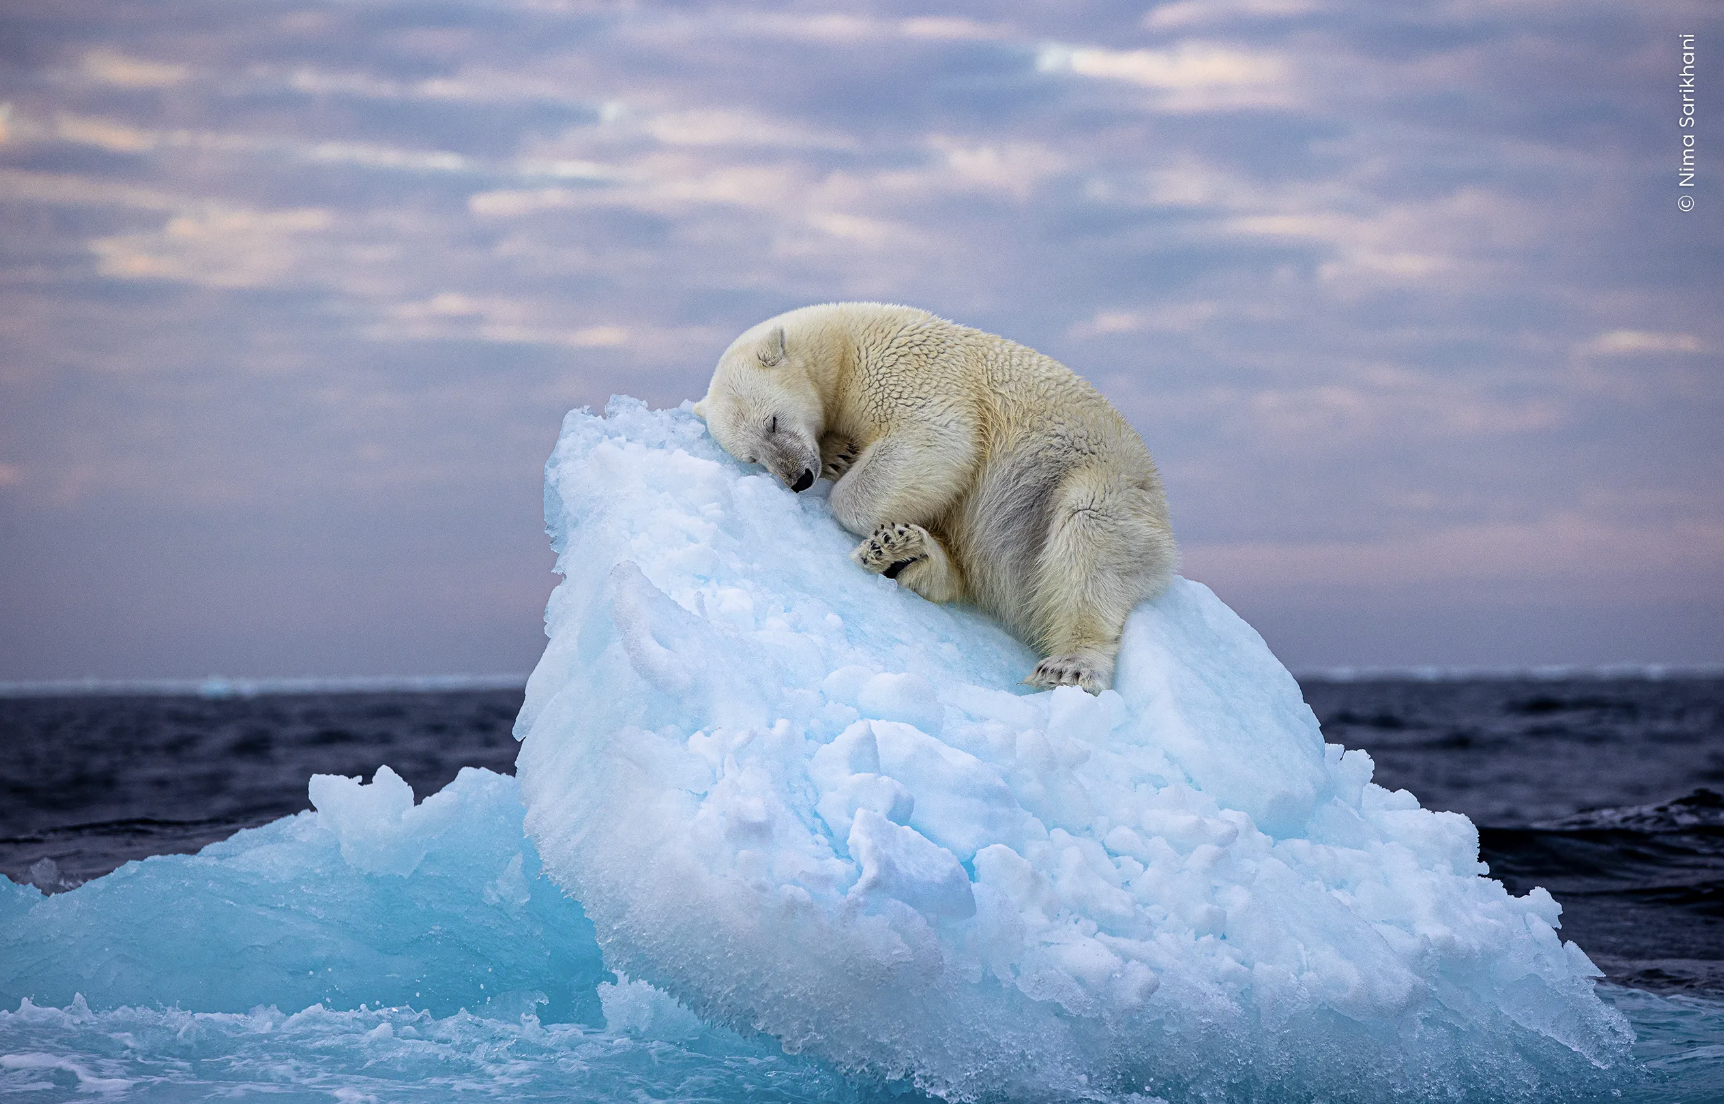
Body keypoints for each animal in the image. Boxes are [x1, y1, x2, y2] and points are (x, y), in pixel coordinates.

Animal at [693, 303, 1179, 690]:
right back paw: (903, 553)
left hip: (1091, 482)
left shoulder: (906, 369)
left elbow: (937, 439)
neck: (842, 344)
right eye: (753, 457)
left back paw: (1069, 665)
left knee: (1088, 539)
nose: (799, 478)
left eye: (773, 421)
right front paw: (839, 455)